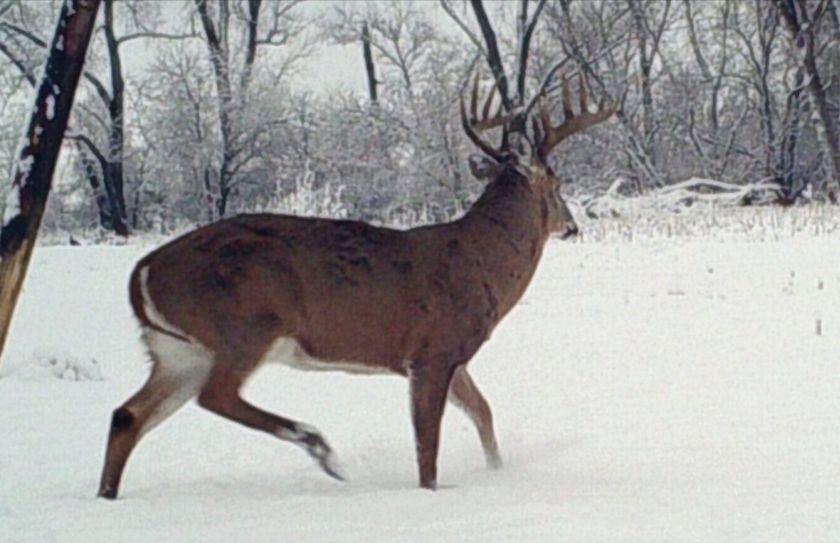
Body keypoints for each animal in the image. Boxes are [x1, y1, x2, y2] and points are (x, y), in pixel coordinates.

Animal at [98, 74, 612, 500]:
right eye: (557, 182)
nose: (572, 226)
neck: (481, 261)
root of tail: (142, 272)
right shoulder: (432, 350)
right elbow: (428, 445)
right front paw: (434, 491)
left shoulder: (450, 356)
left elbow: (483, 411)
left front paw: (498, 471)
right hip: (244, 326)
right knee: (215, 396)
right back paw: (320, 448)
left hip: (178, 349)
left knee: (127, 414)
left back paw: (108, 496)